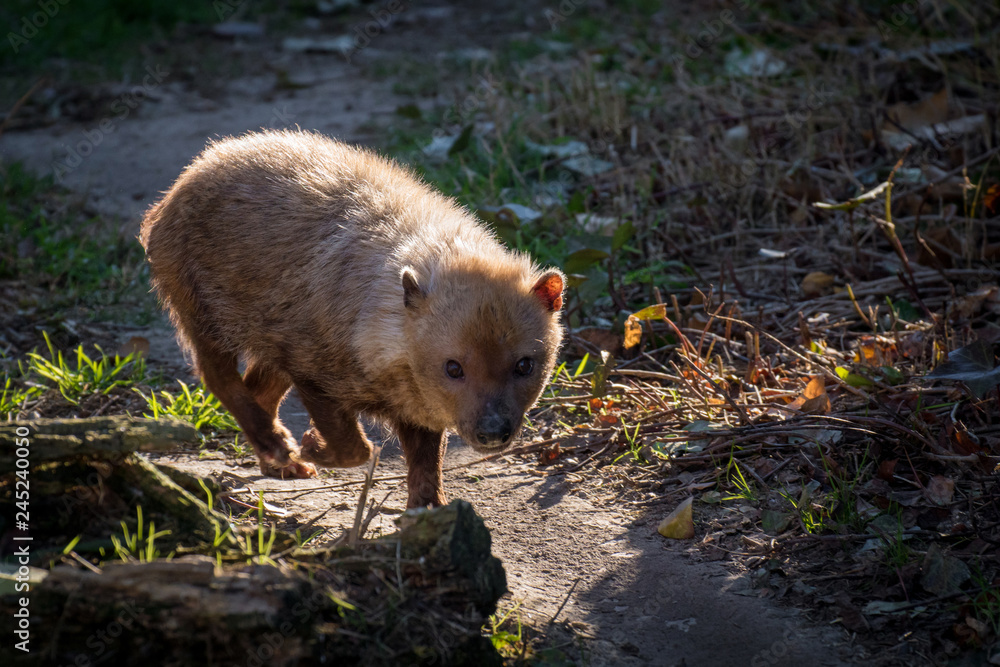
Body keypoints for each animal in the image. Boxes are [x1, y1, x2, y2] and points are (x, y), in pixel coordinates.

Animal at [139, 130, 565, 508]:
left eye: (524, 364)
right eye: (453, 367)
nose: (492, 433)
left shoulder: (412, 405)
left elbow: (427, 460)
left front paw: (428, 509)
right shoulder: (312, 372)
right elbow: (355, 448)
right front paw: (309, 445)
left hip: (268, 340)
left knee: (256, 386)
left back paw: (280, 461)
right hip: (202, 313)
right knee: (216, 376)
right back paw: (277, 446)